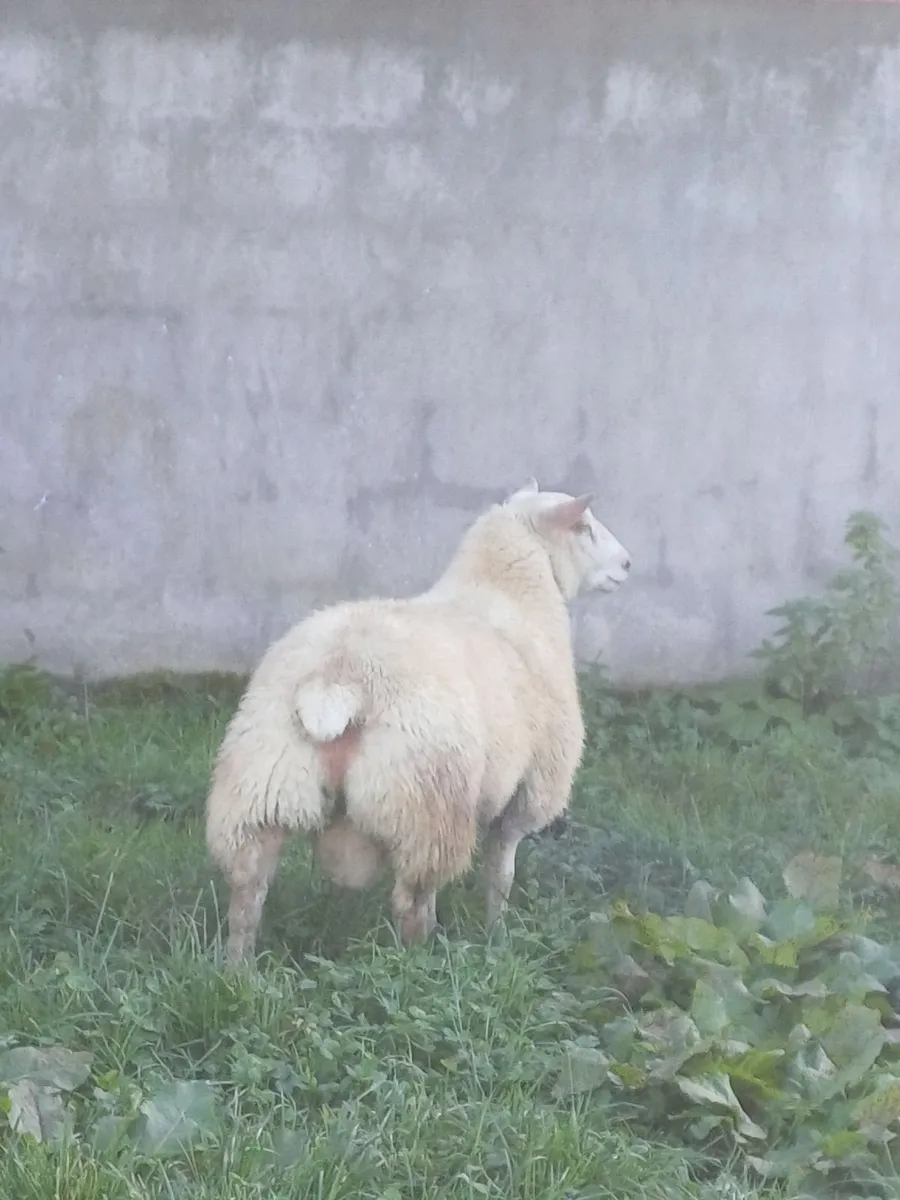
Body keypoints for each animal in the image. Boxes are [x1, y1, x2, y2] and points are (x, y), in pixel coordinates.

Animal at [206, 478, 632, 966]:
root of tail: (340, 676)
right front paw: (497, 933)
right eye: (583, 527)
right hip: (426, 804)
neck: (510, 595)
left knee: (247, 889)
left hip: (263, 787)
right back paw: (421, 959)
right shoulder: (528, 790)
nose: (627, 564)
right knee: (413, 898)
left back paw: (238, 969)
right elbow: (500, 874)